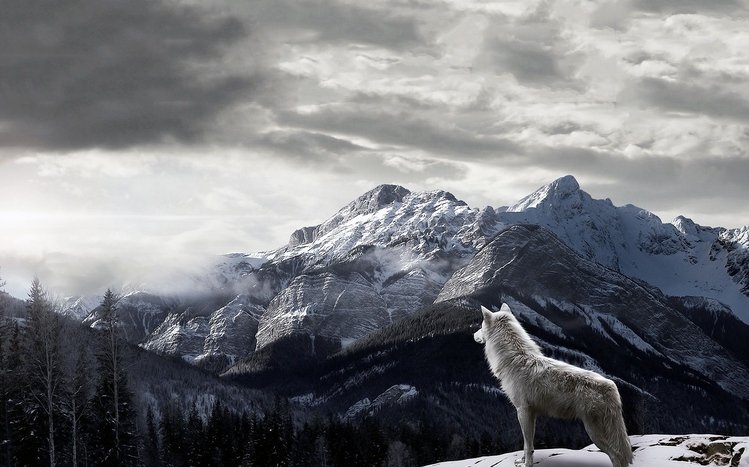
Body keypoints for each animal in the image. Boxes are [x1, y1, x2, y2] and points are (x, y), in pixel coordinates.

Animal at [474, 304, 633, 467]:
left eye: (480, 326)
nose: (473, 334)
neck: (515, 359)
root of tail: (611, 386)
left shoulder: (522, 411)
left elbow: (527, 445)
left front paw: (527, 464)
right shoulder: (531, 413)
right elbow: (528, 444)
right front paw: (522, 460)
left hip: (595, 433)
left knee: (617, 455)